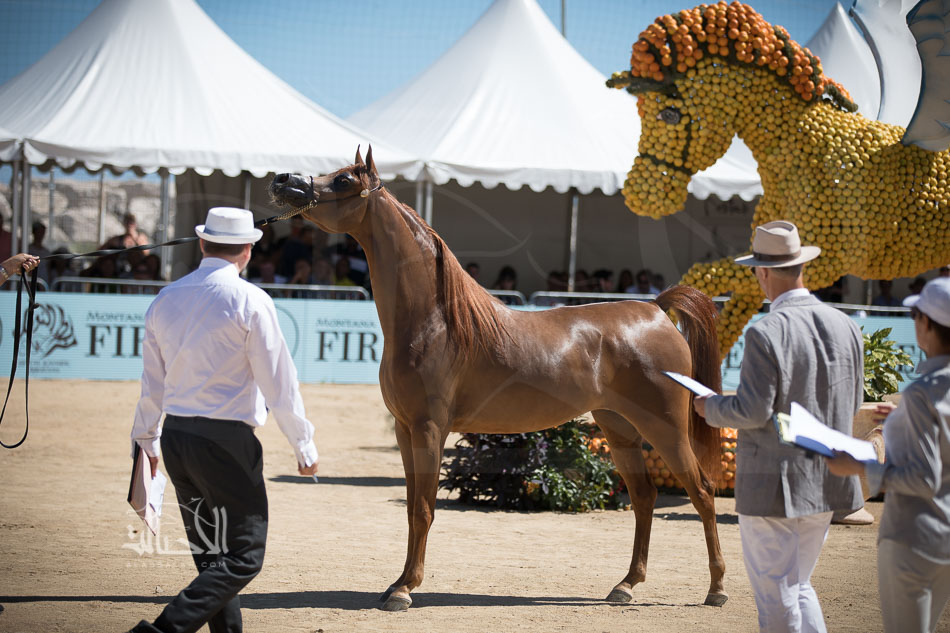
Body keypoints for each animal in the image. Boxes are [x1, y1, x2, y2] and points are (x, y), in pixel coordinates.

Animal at [270, 146, 727, 611]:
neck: (434, 322)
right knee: (644, 497)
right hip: (620, 429)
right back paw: (626, 585)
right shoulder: (404, 429)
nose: (283, 180)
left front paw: (404, 589)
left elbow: (423, 508)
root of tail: (655, 309)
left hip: (665, 428)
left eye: (344, 180)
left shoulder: (429, 429)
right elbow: (412, 508)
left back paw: (716, 589)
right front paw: (396, 583)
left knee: (703, 492)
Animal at [610, 0, 950, 356]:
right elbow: (722, 323)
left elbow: (701, 275)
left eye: (670, 113)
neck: (801, 153)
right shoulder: (766, 257)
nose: (639, 196)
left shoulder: (821, 262)